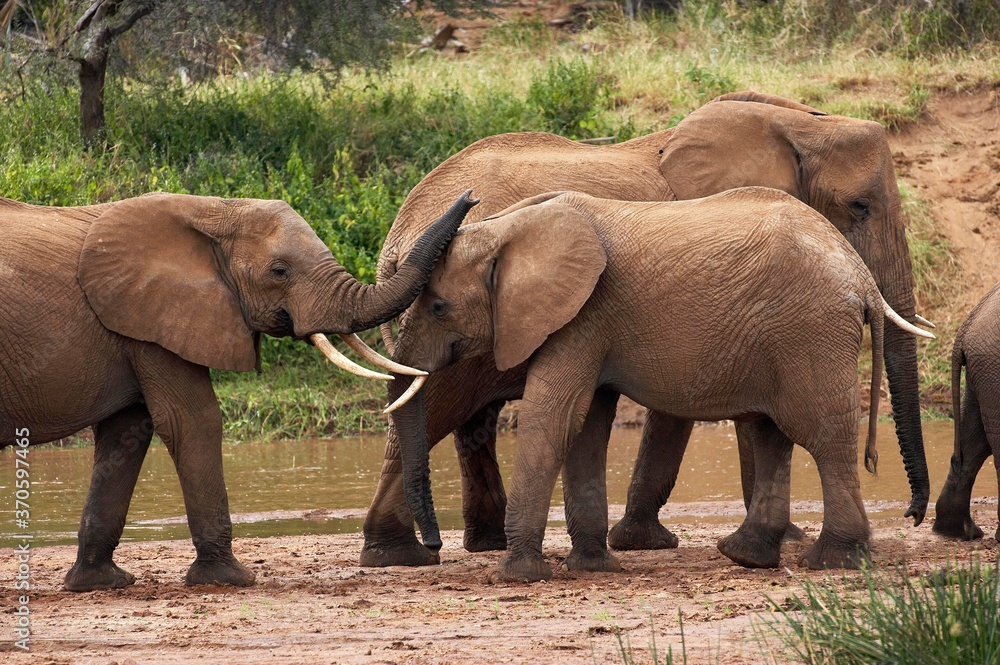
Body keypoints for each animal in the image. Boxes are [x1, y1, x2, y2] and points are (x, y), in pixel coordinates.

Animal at [0, 190, 476, 591]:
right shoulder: (152, 318)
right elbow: (192, 421)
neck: (209, 209)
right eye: (279, 272)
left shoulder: (136, 323)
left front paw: (101, 584)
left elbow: (127, 435)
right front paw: (229, 580)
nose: (470, 198)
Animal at [360, 91, 931, 568]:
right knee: (438, 405)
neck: (801, 122)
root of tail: (401, 227)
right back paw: (402, 553)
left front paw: (639, 544)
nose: (912, 515)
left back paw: (468, 545)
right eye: (860, 207)